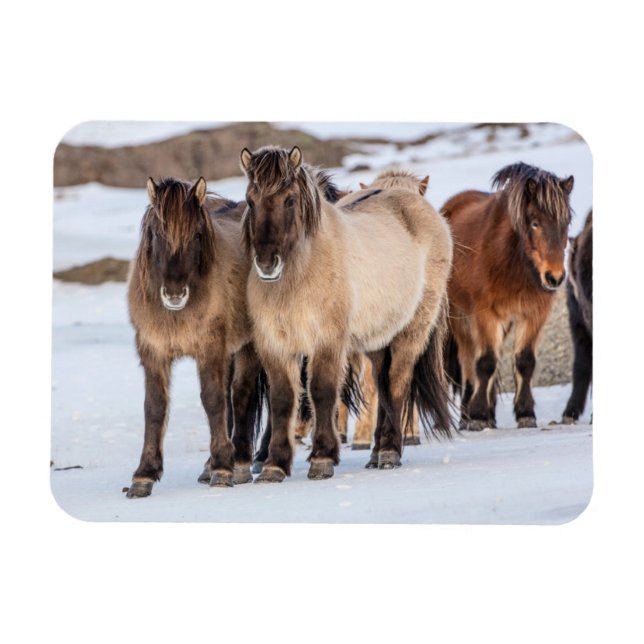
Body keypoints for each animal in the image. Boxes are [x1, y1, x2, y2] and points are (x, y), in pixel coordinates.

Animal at [125, 177, 263, 497]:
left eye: (197, 234)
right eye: (157, 233)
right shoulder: (153, 352)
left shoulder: (210, 350)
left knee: (241, 395)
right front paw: (144, 475)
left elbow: (213, 401)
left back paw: (239, 463)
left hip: (248, 346)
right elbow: (154, 407)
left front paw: (223, 469)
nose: (175, 294)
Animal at [240, 146, 453, 482]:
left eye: (289, 199)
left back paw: (390, 451)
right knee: (381, 384)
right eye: (250, 200)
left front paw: (322, 458)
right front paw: (274, 465)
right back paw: (377, 452)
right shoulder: (275, 345)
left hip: (411, 331)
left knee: (397, 383)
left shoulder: (328, 342)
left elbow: (322, 391)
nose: (267, 264)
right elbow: (283, 401)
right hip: (378, 339)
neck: (301, 273)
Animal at [442, 162, 574, 431]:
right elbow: (485, 362)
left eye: (566, 222)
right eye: (534, 223)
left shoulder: (534, 315)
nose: (554, 277)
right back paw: (467, 416)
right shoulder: (485, 315)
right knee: (469, 362)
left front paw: (525, 413)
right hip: (461, 318)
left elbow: (524, 361)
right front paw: (477, 415)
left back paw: (490, 416)